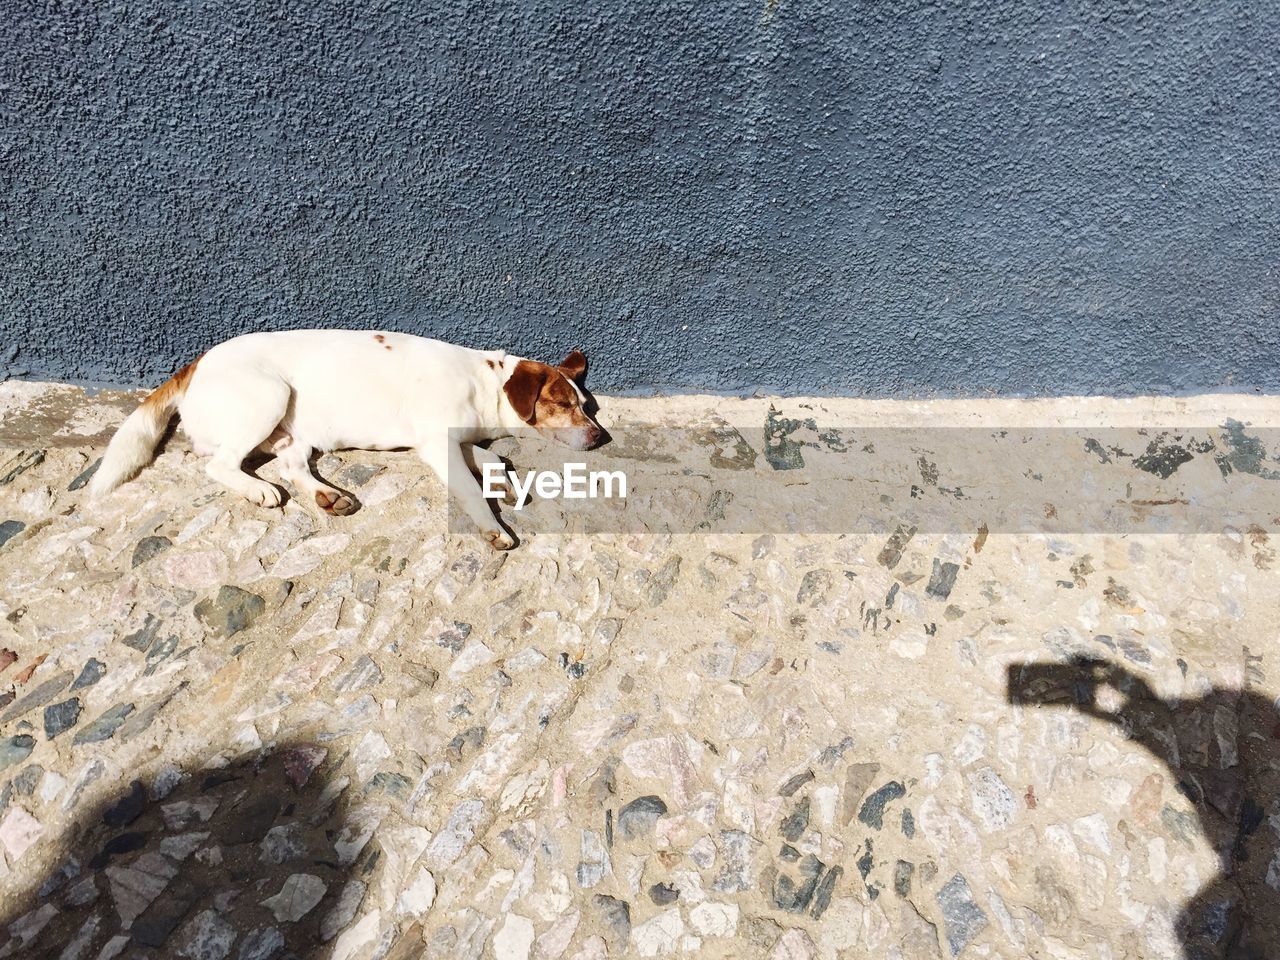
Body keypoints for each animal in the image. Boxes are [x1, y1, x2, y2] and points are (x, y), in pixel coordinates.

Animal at [90, 330, 604, 547]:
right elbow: (472, 491)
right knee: (219, 465)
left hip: (295, 432)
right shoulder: (438, 445)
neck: (484, 382)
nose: (600, 436)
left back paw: (328, 496)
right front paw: (494, 527)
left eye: (586, 403)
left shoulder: (452, 441)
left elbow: (497, 461)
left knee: (291, 465)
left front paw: (505, 483)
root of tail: (195, 364)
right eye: (563, 402)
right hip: (269, 395)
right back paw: (259, 490)